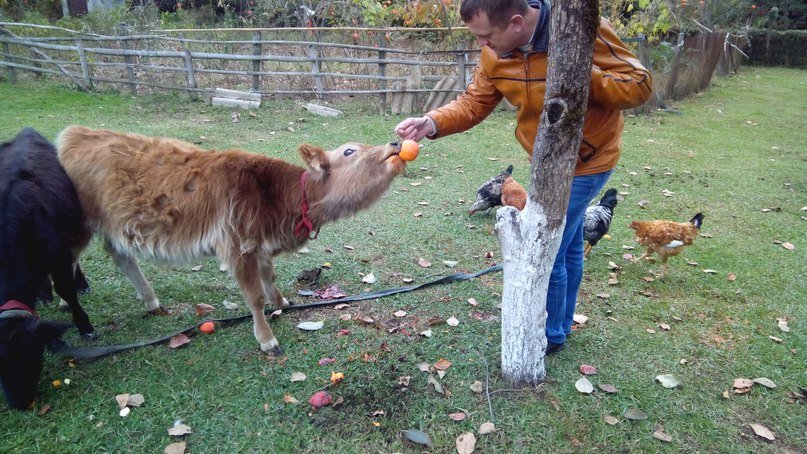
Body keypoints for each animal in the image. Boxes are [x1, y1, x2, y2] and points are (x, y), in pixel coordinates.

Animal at [56, 126, 408, 352]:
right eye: (349, 150)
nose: (394, 143)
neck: (277, 197)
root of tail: (75, 133)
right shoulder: (239, 246)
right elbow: (254, 297)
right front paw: (266, 339)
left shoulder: (260, 246)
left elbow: (269, 278)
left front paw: (282, 302)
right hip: (77, 227)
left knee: (121, 255)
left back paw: (150, 300)